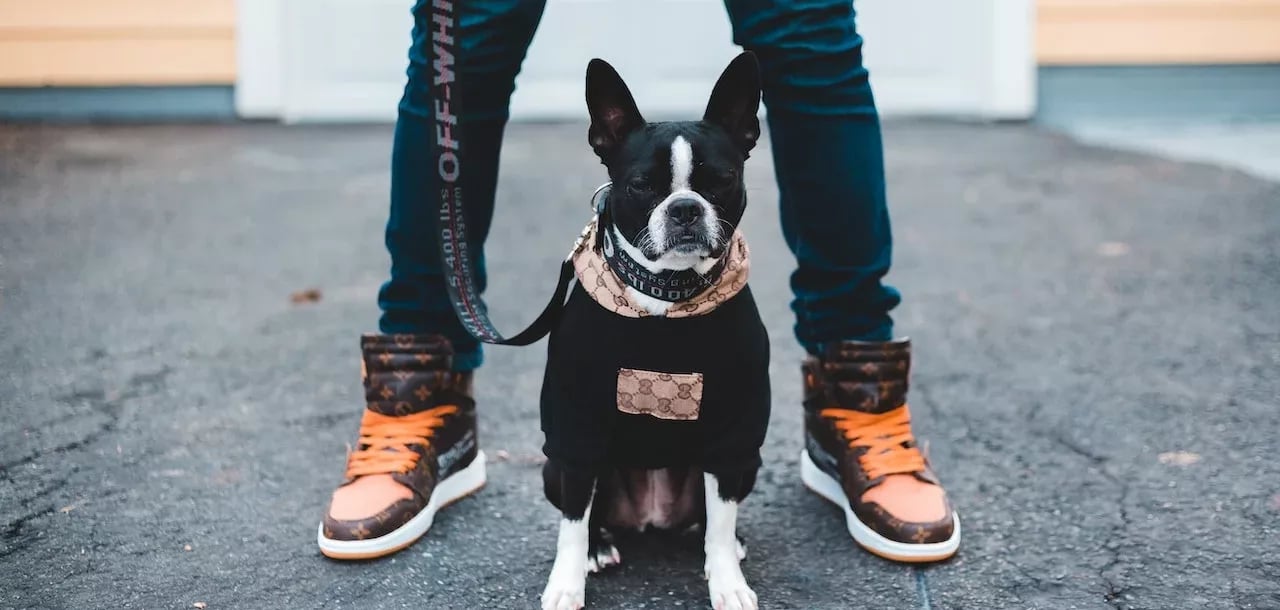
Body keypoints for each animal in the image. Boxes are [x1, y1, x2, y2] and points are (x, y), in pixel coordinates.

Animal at [537, 53, 768, 608]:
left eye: (721, 180)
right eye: (642, 185)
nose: (685, 208)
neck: (668, 293)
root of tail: (651, 515)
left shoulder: (734, 430)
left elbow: (721, 522)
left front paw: (727, 582)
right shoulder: (575, 429)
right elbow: (571, 523)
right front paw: (565, 584)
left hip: (747, 461)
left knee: (710, 517)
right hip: (554, 465)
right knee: (586, 510)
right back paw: (599, 547)